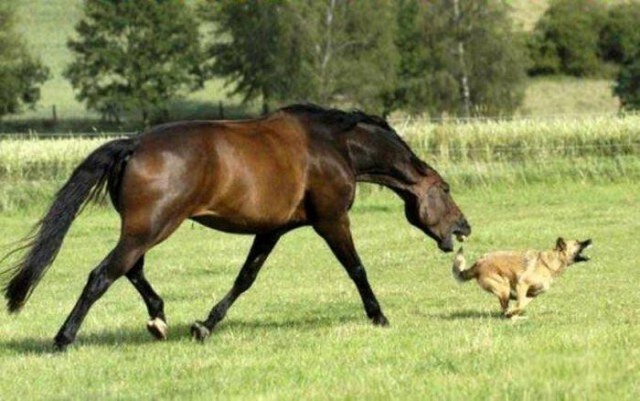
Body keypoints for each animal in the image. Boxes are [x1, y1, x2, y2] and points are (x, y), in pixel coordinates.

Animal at [0, 104, 470, 348]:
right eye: (446, 189)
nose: (464, 228)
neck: (335, 145)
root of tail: (132, 144)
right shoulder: (331, 219)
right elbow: (356, 269)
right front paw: (379, 317)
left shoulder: (272, 229)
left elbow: (245, 278)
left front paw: (205, 325)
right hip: (151, 228)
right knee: (103, 274)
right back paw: (63, 339)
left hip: (144, 229)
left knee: (130, 270)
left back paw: (159, 320)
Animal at [452, 236, 592, 318]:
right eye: (577, 243)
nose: (590, 240)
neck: (548, 263)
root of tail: (478, 263)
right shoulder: (522, 285)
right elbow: (519, 305)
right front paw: (513, 314)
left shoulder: (532, 294)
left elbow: (522, 305)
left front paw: (516, 313)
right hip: (504, 287)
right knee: (504, 309)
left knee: (504, 308)